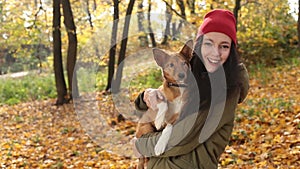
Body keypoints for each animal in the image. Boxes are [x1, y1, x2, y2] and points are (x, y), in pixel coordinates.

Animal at [135, 40, 193, 169]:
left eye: (184, 63)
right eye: (171, 65)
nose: (181, 75)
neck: (178, 88)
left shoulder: (180, 115)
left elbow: (168, 128)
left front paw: (160, 145)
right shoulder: (157, 95)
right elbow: (163, 103)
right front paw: (159, 121)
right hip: (145, 128)